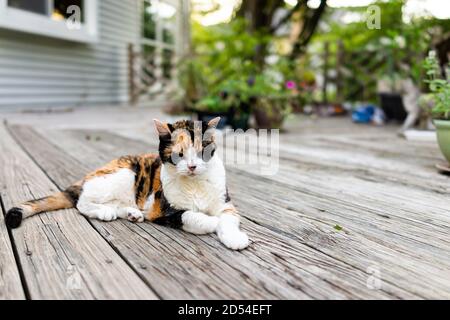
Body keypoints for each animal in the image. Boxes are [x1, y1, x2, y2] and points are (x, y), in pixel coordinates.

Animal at [4, 117, 250, 250]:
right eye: (178, 155)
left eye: (201, 153)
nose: (191, 167)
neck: (194, 184)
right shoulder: (164, 210)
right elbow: (191, 216)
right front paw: (212, 222)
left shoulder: (225, 204)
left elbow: (228, 218)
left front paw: (234, 237)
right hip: (125, 173)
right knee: (82, 201)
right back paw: (104, 211)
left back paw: (132, 213)